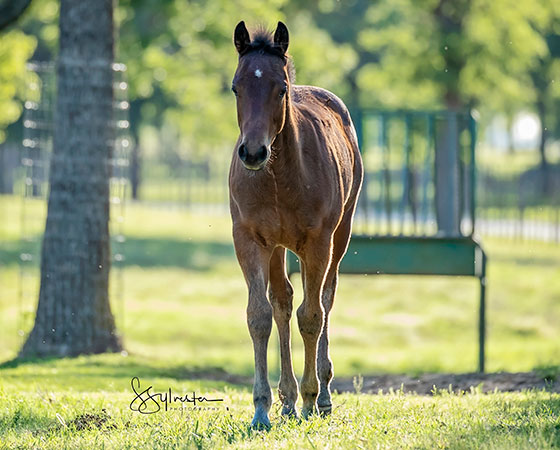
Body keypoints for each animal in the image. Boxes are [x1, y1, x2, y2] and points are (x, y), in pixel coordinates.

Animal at [231, 21, 366, 428]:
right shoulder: (249, 239)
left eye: (281, 88)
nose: (253, 152)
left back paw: (320, 395)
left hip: (339, 236)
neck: (278, 176)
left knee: (325, 298)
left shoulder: (318, 241)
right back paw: (286, 399)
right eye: (236, 87)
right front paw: (262, 408)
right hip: (277, 247)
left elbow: (312, 315)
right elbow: (259, 315)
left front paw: (310, 398)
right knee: (283, 301)